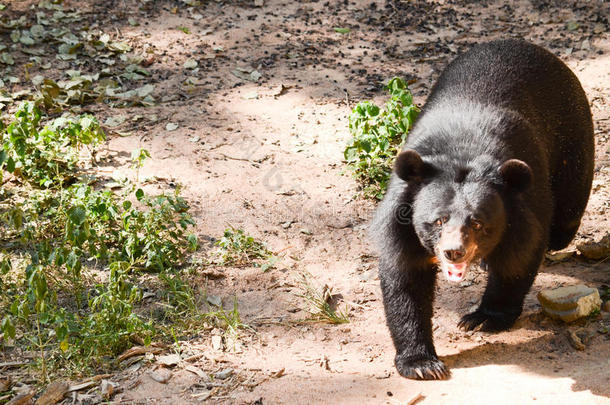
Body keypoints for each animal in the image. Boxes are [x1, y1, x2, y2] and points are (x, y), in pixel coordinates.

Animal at [368, 38, 592, 378]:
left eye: (477, 224)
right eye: (438, 221)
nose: (453, 252)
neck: (463, 153)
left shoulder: (524, 205)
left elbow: (519, 256)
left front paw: (482, 318)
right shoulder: (401, 218)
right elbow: (405, 277)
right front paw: (422, 364)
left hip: (572, 137)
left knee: (566, 214)